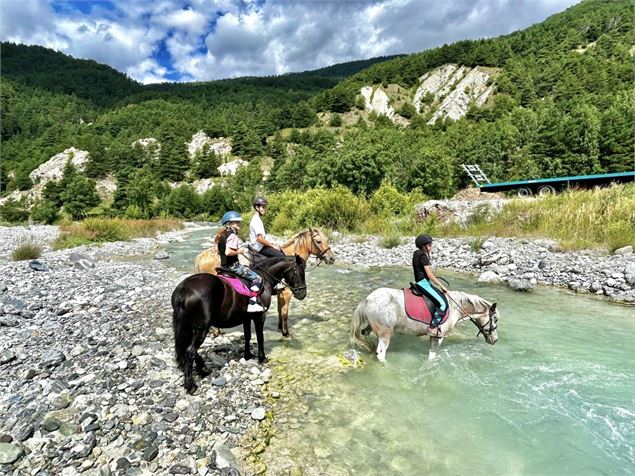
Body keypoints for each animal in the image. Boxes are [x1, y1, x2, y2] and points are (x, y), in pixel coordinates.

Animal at [171, 256, 306, 394]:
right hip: (202, 328)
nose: (303, 294)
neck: (265, 278)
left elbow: (247, 336)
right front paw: (262, 358)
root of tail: (184, 288)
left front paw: (248, 355)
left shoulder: (246, 318)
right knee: (190, 351)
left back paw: (203, 370)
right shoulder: (259, 316)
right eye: (300, 272)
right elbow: (260, 337)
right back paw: (190, 385)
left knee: (188, 348)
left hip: (189, 326)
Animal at [194, 229, 336, 336]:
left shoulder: (280, 293)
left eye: (327, 240)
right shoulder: (286, 293)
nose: (331, 258)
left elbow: (279, 310)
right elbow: (284, 312)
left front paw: (280, 328)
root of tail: (200, 257)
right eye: (318, 241)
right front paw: (286, 333)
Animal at [350, 288, 500, 362]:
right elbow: (432, 357)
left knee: (365, 335)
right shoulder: (438, 336)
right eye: (496, 319)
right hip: (385, 333)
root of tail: (367, 299)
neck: (455, 307)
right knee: (381, 354)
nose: (495, 340)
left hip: (372, 327)